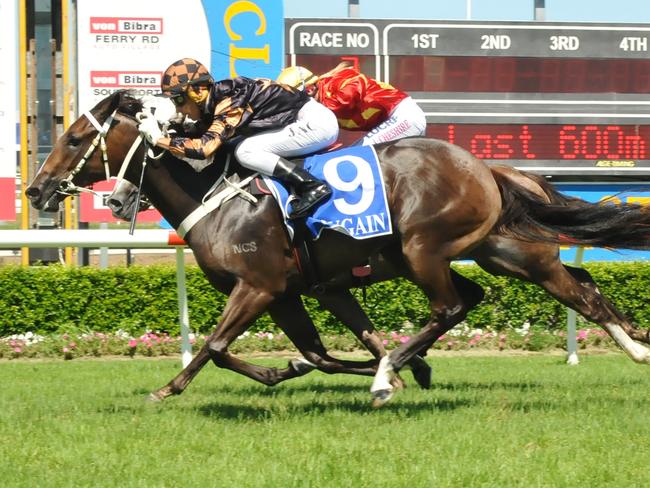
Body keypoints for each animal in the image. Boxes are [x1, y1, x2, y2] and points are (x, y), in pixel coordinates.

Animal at [26, 89, 650, 406]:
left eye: (76, 139)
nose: (36, 189)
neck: (219, 199)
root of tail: (487, 166)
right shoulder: (296, 292)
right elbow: (323, 351)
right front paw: (394, 368)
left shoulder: (259, 287)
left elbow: (217, 347)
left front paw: (167, 389)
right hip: (501, 253)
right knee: (570, 289)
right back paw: (636, 346)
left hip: (429, 249)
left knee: (453, 304)